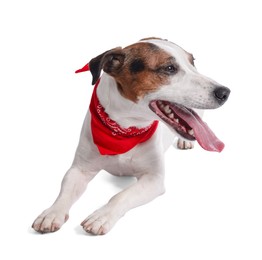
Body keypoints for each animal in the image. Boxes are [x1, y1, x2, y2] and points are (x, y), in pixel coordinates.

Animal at [31, 37, 230, 235]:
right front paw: (52, 213)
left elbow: (121, 195)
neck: (125, 130)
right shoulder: (79, 169)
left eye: (192, 62)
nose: (225, 92)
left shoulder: (154, 179)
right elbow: (65, 191)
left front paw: (101, 216)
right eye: (169, 68)